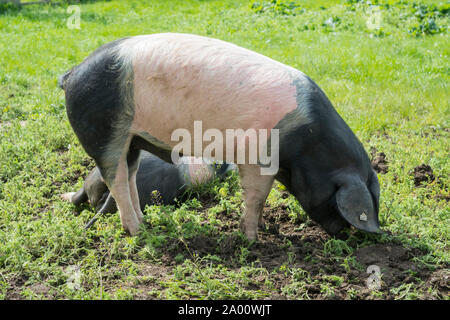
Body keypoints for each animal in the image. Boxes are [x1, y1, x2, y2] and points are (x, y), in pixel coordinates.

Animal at [59, 33, 384, 241]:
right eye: (335, 198)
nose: (344, 235)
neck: (307, 144)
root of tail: (72, 73)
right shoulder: (257, 158)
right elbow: (256, 197)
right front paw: (253, 239)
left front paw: (267, 230)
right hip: (104, 133)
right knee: (116, 179)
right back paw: (137, 232)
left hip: (132, 138)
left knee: (128, 175)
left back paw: (145, 223)